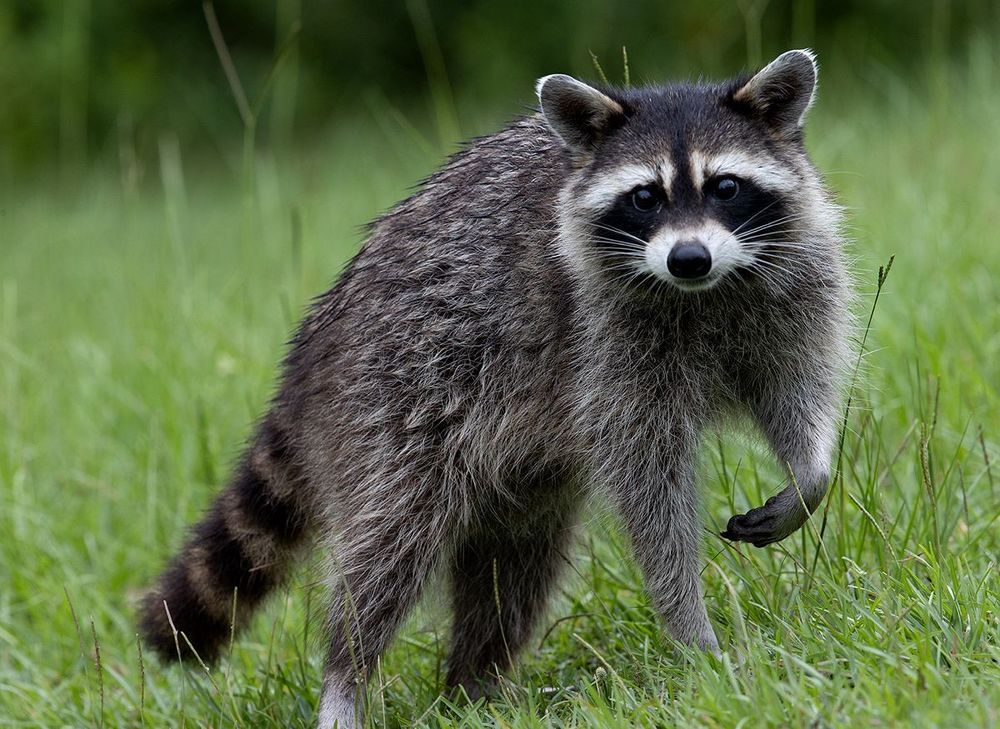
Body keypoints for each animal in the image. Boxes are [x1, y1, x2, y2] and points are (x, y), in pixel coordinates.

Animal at [139, 50, 850, 728]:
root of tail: (318, 335)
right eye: (645, 197)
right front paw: (689, 627)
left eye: (725, 186)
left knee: (514, 568)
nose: (688, 258)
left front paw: (810, 475)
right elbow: (650, 488)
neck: (706, 291)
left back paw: (472, 684)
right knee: (387, 550)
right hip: (394, 402)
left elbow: (796, 390)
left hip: (512, 470)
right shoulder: (603, 342)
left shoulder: (791, 286)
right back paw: (346, 677)